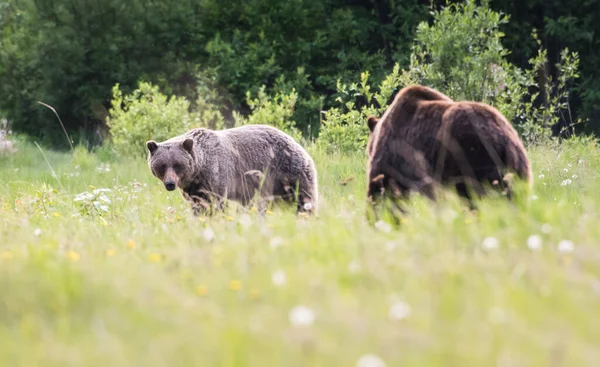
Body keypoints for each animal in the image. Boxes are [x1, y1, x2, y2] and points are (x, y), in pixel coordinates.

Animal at [146, 124, 318, 216]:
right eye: (162, 165)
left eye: (177, 164)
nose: (170, 184)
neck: (199, 170)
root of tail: (296, 142)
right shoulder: (192, 188)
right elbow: (198, 205)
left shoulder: (216, 175)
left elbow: (216, 202)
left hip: (289, 172)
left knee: (304, 199)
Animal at [368, 84, 532, 221]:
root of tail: (505, 139)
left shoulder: (392, 157)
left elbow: (381, 190)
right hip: (516, 172)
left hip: (472, 159)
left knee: (473, 199)